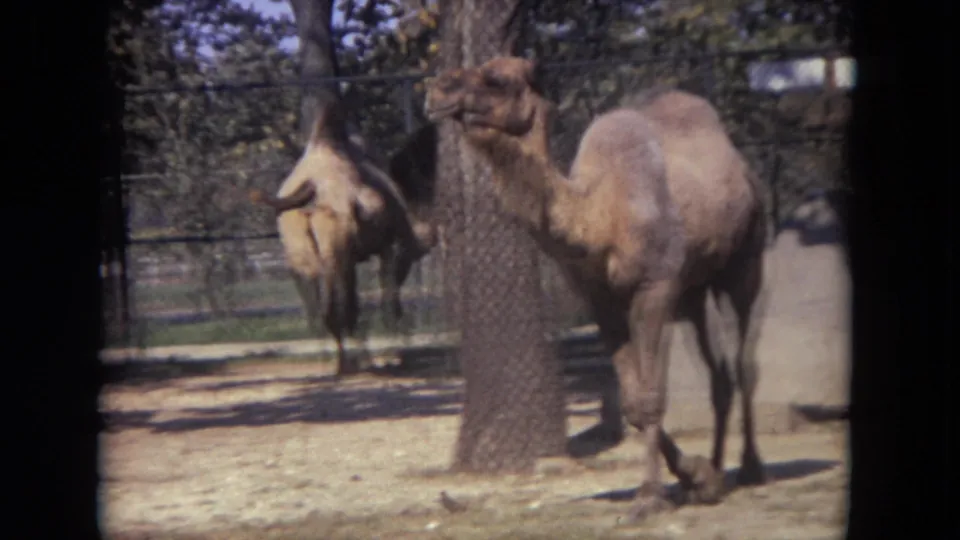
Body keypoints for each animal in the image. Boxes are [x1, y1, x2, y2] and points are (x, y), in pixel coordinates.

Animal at [250, 101, 437, 376]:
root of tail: (310, 186)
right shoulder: (392, 248)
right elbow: (388, 300)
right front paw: (395, 354)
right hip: (336, 245)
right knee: (337, 305)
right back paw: (348, 361)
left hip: (300, 248)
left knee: (319, 309)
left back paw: (330, 360)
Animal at [424, 57, 769, 521]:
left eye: (497, 79)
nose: (437, 90)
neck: (601, 216)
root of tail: (745, 169)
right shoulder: (602, 301)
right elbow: (632, 403)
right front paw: (697, 478)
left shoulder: (654, 287)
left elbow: (651, 397)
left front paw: (649, 498)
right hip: (694, 293)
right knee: (720, 375)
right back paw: (716, 471)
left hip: (744, 263)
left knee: (744, 359)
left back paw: (750, 467)